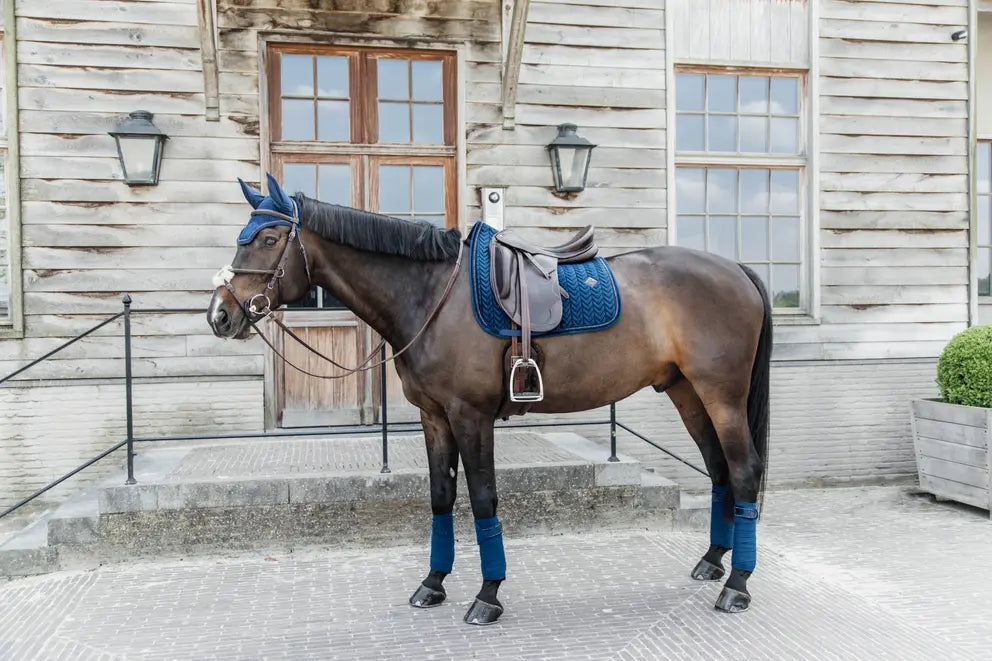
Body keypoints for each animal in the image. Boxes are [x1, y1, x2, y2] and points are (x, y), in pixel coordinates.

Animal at [205, 173, 772, 620]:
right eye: (243, 236)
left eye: (270, 237)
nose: (220, 315)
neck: (431, 296)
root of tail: (736, 269)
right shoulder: (433, 417)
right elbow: (440, 497)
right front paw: (432, 584)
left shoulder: (470, 416)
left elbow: (482, 499)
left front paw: (488, 594)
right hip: (687, 393)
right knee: (720, 471)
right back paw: (713, 561)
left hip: (721, 395)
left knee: (744, 470)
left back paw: (736, 585)